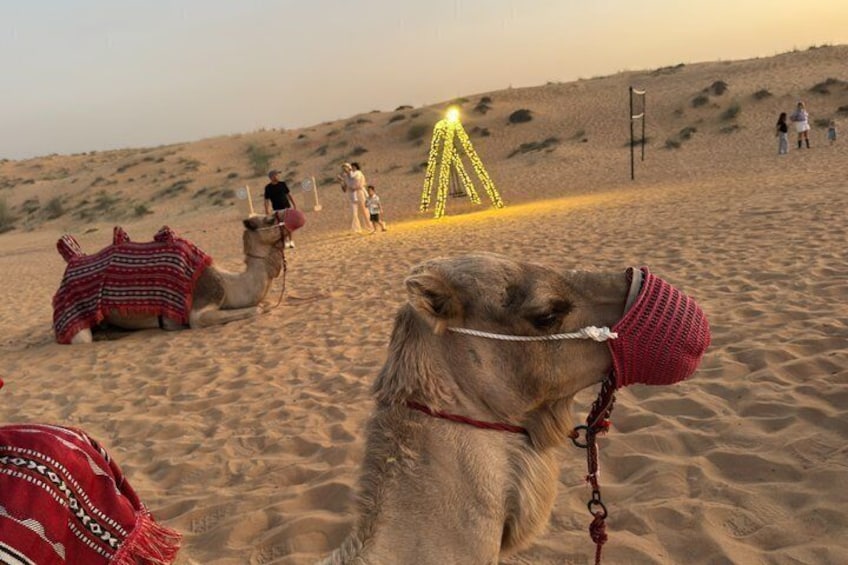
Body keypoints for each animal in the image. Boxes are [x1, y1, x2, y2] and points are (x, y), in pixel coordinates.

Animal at [53, 212, 302, 344]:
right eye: (270, 219)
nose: (290, 217)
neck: (229, 283)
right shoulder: (200, 308)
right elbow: (256, 309)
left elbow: (264, 303)